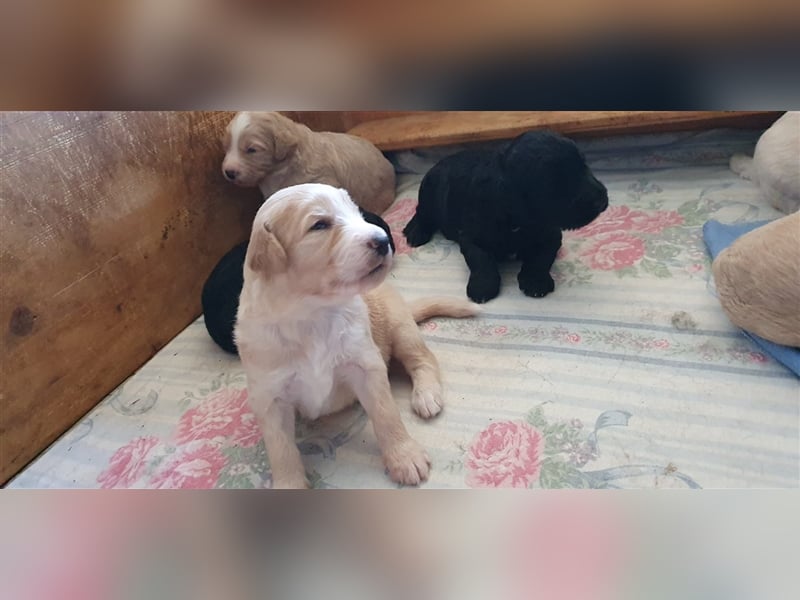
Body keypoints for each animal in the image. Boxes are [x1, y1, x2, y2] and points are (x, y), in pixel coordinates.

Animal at [234, 183, 478, 488]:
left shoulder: (365, 365)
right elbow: (281, 450)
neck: (313, 314)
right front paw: (290, 484)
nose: (384, 240)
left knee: (423, 359)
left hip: (400, 327)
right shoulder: (270, 398)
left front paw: (404, 457)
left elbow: (386, 415)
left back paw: (426, 395)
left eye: (357, 212)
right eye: (320, 225)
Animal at [404, 129, 608, 302]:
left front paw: (535, 281)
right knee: (421, 212)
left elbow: (542, 257)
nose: (602, 200)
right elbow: (481, 259)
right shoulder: (471, 237)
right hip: (428, 192)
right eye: (555, 183)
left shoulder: (551, 234)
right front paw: (483, 286)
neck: (517, 221)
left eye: (585, 166)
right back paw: (415, 232)